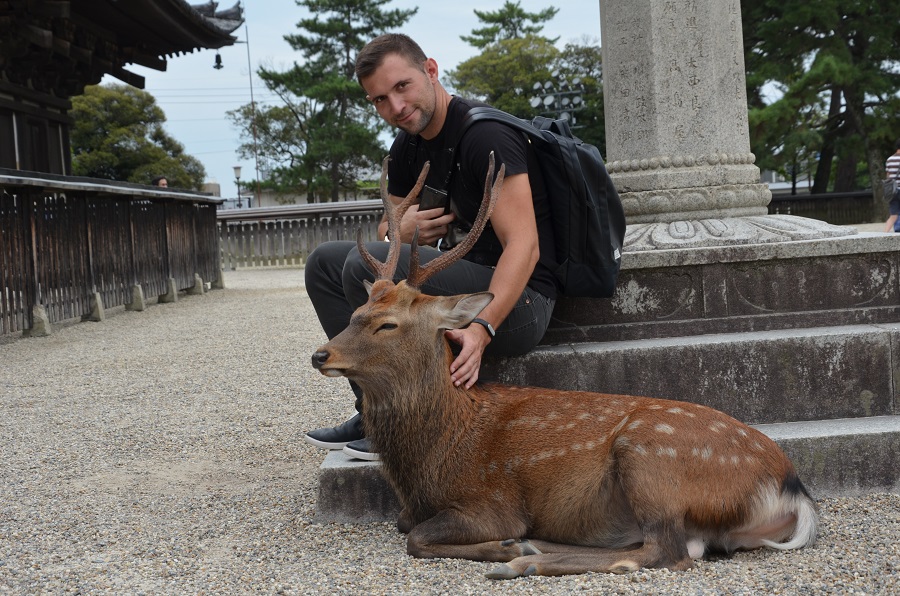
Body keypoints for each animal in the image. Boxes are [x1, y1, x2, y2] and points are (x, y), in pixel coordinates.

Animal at [312, 152, 824, 576]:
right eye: (358, 312)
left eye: (388, 324)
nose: (321, 354)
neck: (429, 459)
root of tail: (793, 489)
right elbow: (405, 526)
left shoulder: (490, 501)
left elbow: (416, 537)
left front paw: (505, 546)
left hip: (652, 458)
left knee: (668, 551)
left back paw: (524, 559)